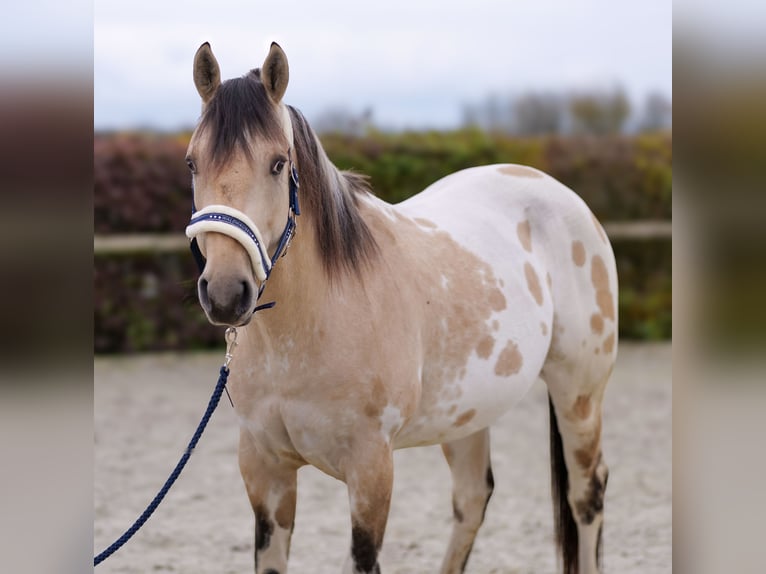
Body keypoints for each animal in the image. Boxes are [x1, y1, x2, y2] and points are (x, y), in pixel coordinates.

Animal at [184, 41, 616, 574]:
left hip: (579, 395)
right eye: (192, 163)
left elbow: (364, 557)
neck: (308, 326)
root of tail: (560, 194)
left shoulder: (371, 469)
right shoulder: (265, 468)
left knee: (586, 496)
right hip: (468, 413)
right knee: (472, 499)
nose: (226, 292)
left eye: (278, 163)